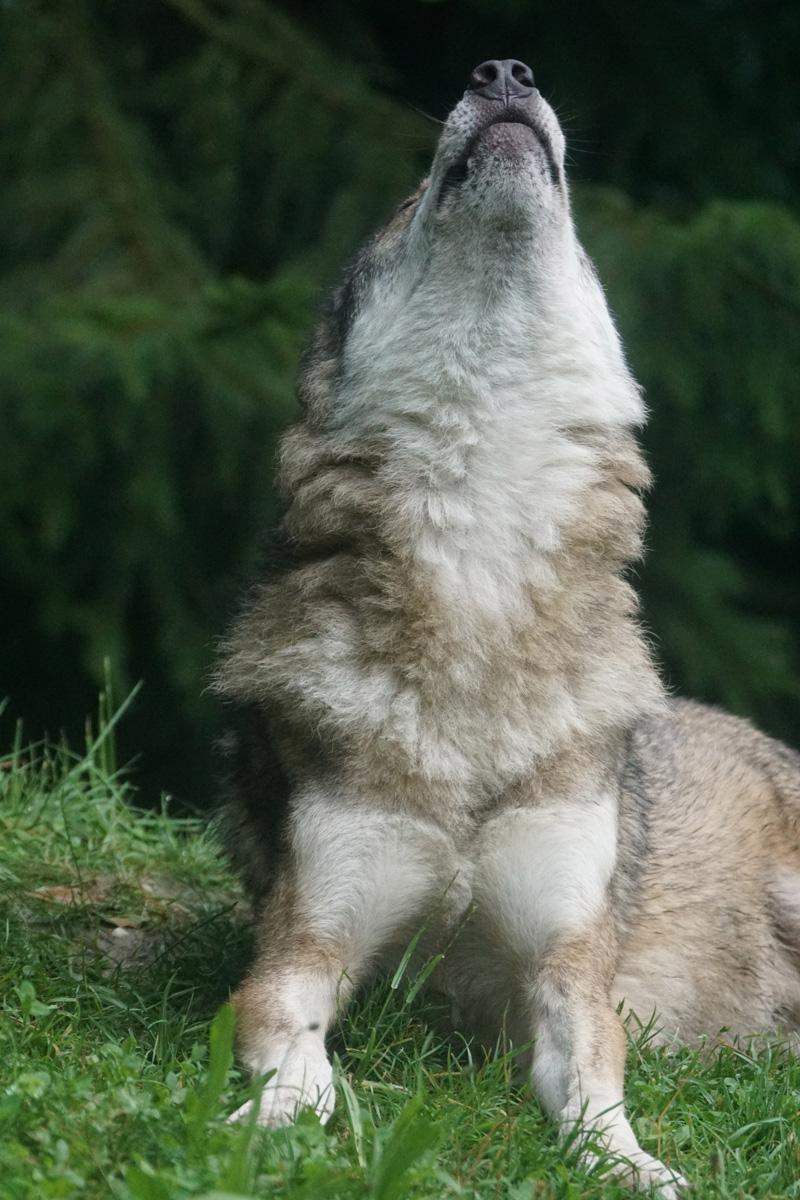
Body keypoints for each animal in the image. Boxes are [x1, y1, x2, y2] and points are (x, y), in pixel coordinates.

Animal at [215, 59, 800, 1196]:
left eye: (575, 238)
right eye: (404, 206)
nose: (502, 72)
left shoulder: (568, 963)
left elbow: (596, 1081)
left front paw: (633, 1167)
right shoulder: (304, 942)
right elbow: (286, 1038)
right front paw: (278, 1119)